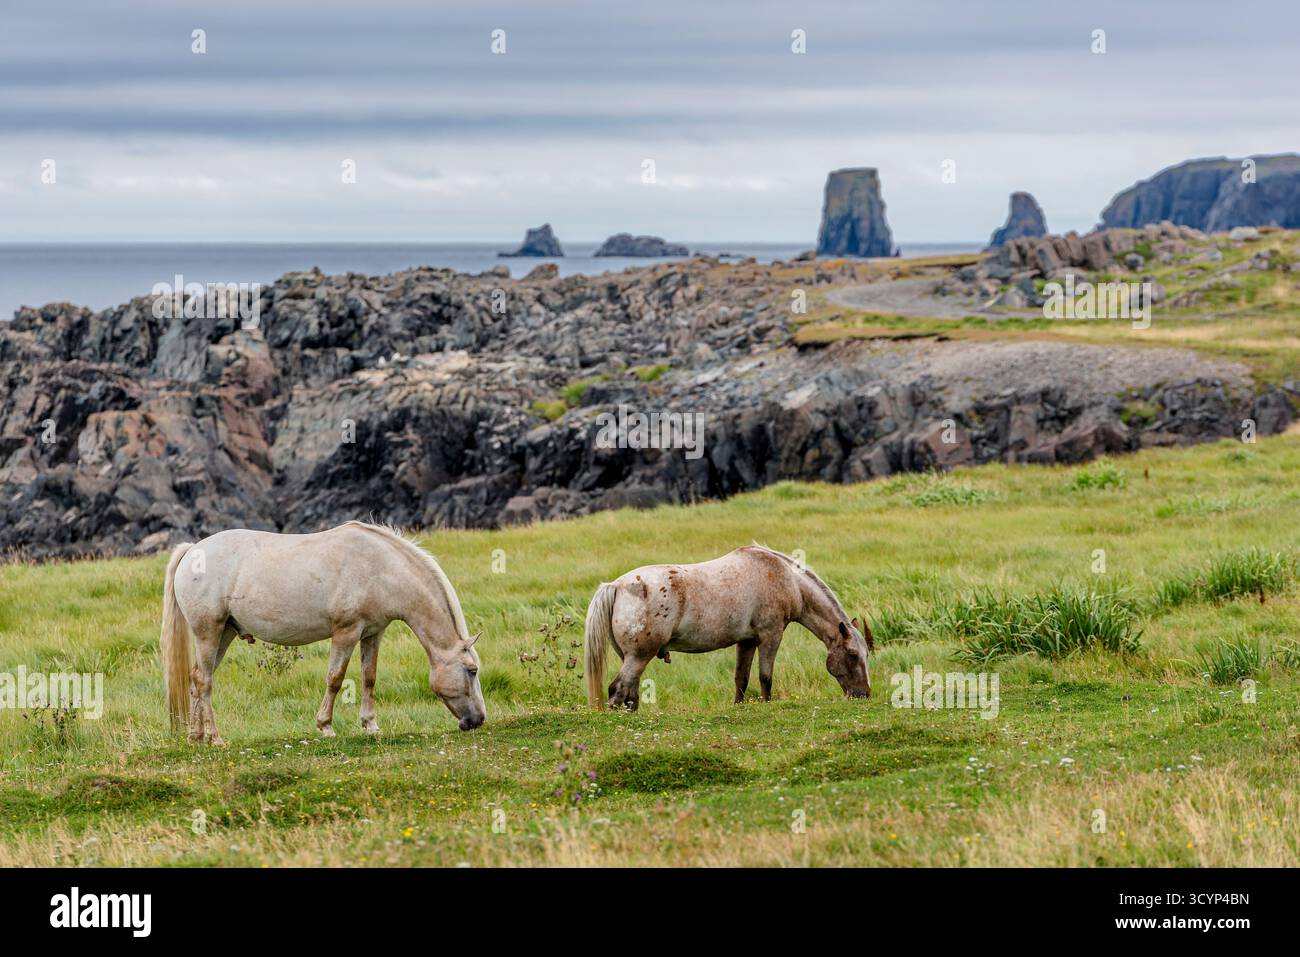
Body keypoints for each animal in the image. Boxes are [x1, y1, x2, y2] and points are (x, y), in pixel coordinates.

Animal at [159, 521, 485, 744]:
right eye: (471, 670)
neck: (379, 567)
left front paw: (370, 725)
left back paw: (196, 737)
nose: (478, 720)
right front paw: (326, 726)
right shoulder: (346, 632)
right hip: (208, 633)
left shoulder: (373, 633)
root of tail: (192, 551)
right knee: (204, 681)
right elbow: (336, 678)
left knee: (196, 680)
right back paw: (216, 738)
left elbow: (369, 678)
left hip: (224, 633)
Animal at [583, 544, 872, 710]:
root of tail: (616, 586)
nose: (864, 694)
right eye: (852, 655)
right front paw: (767, 706)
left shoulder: (747, 641)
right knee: (618, 690)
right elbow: (765, 677)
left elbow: (741, 679)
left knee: (630, 695)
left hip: (632, 658)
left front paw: (739, 707)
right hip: (638, 656)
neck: (786, 578)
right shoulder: (771, 635)